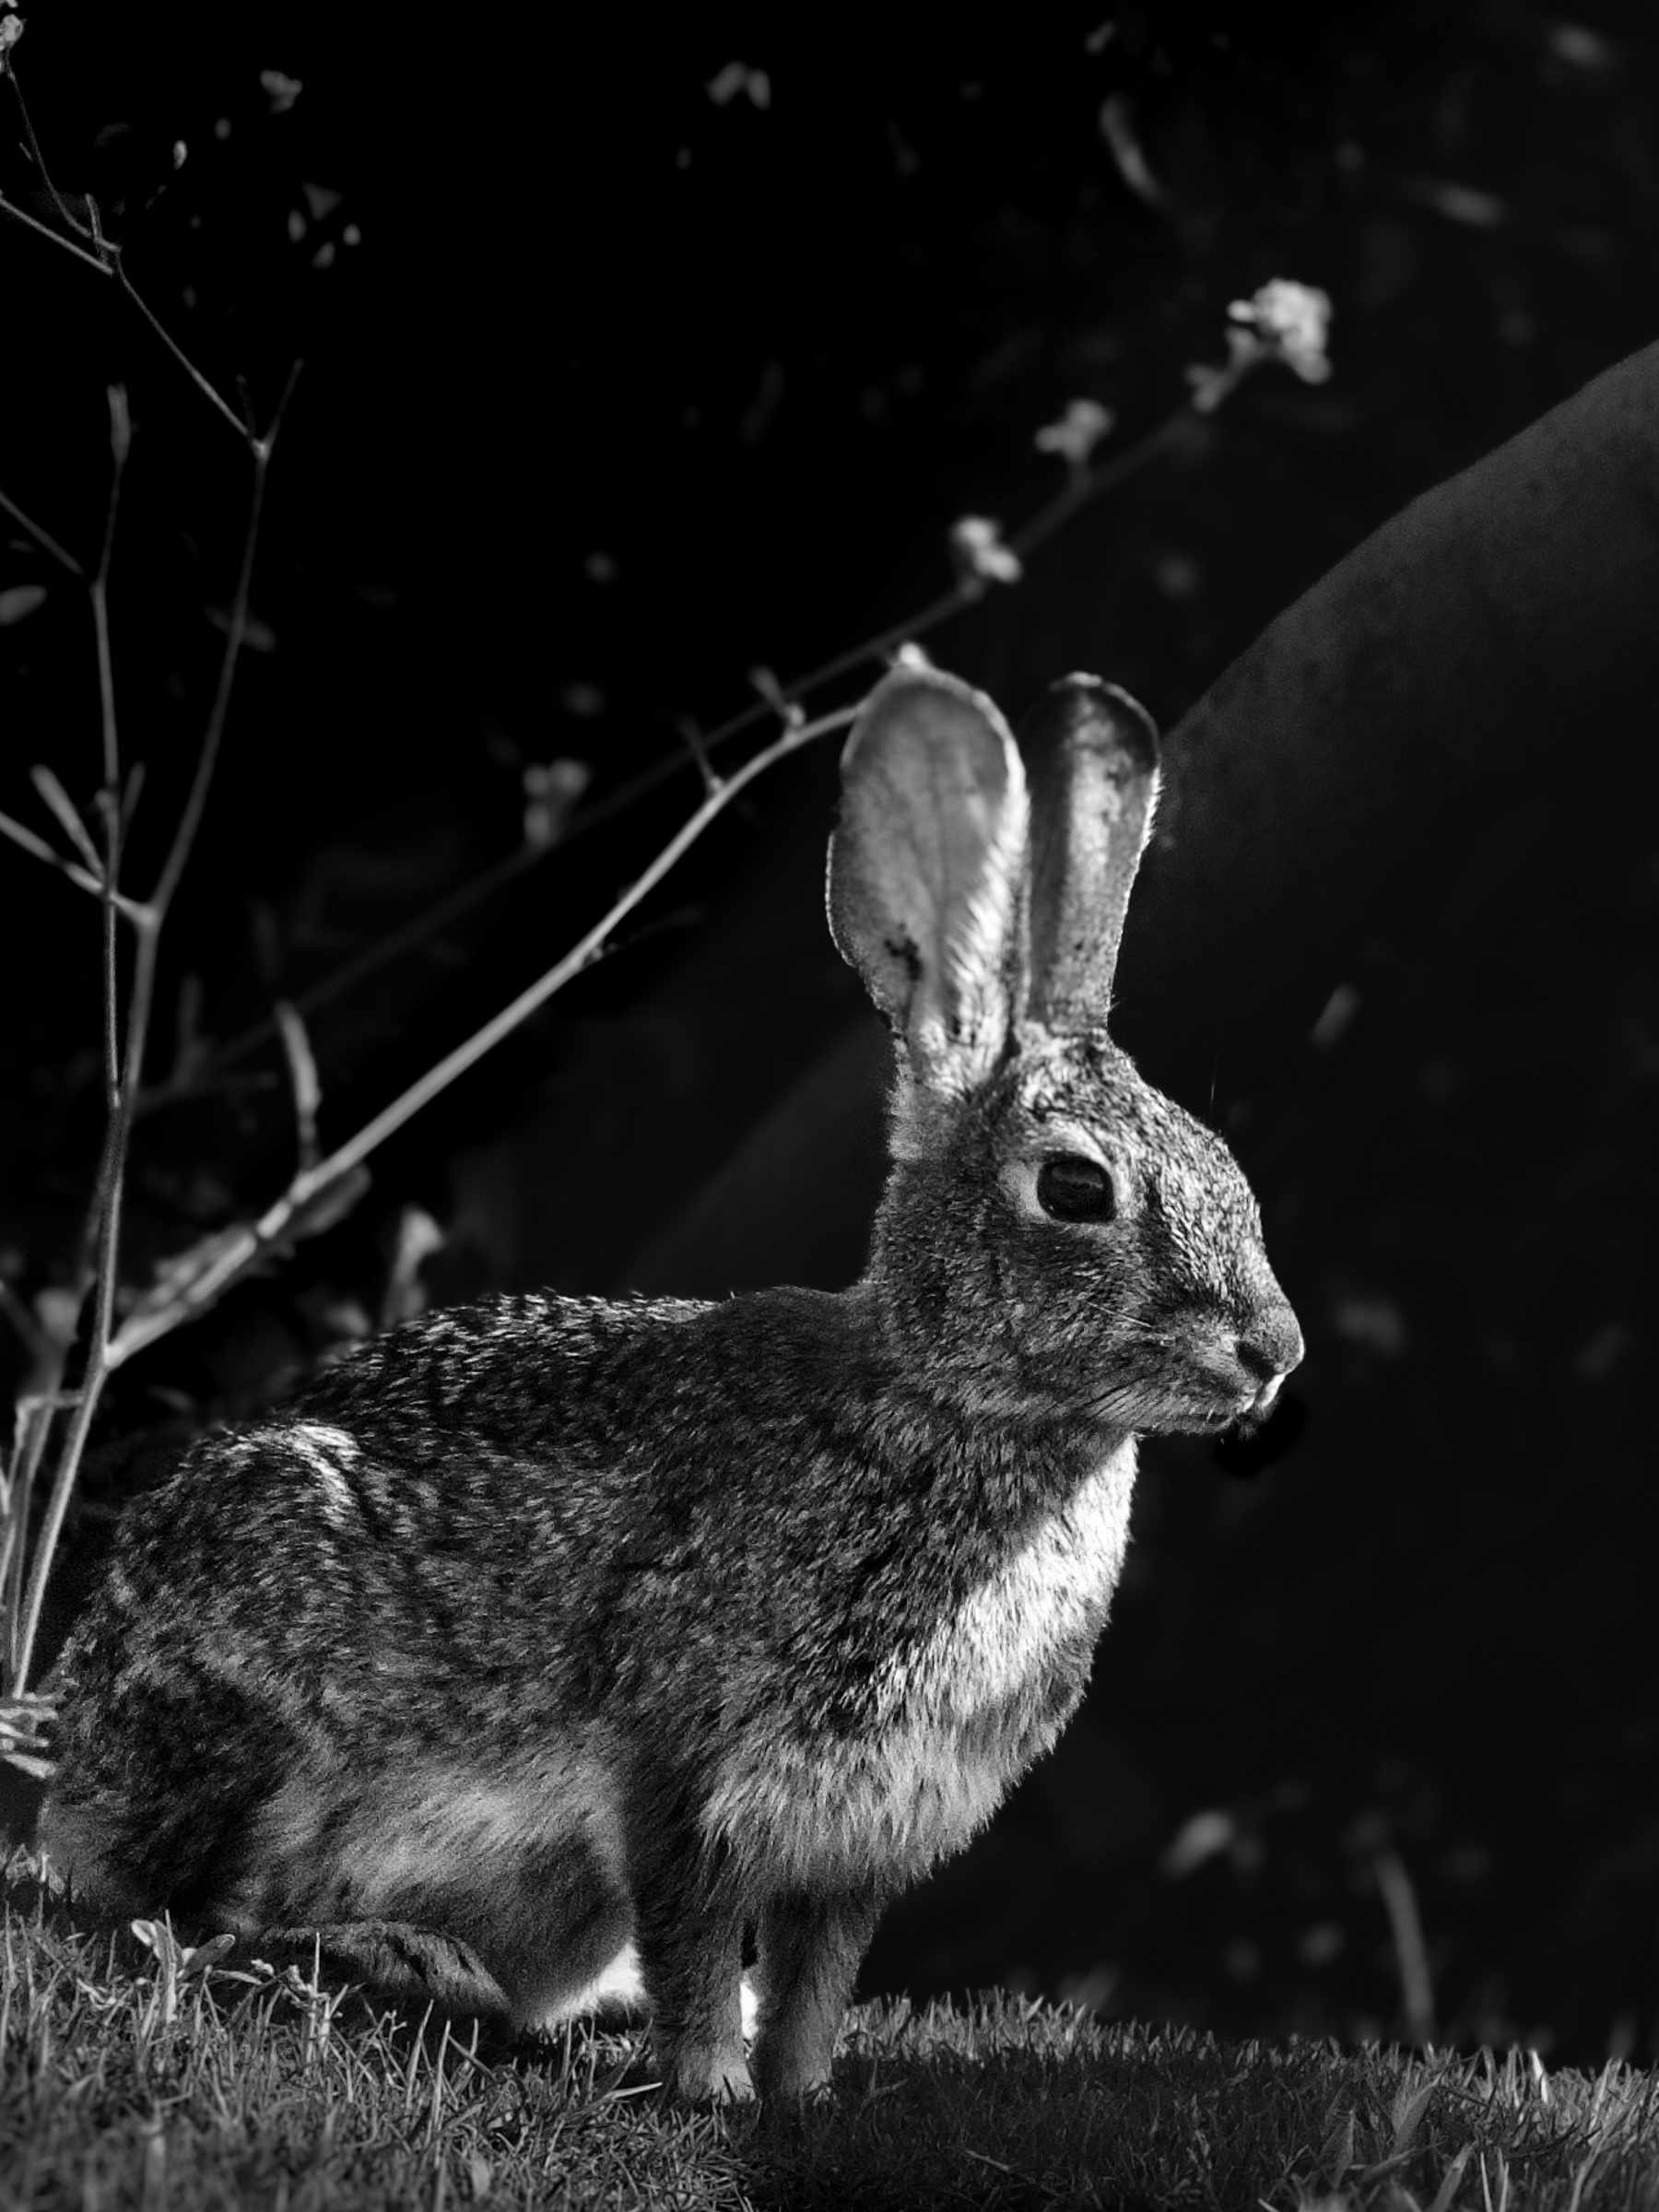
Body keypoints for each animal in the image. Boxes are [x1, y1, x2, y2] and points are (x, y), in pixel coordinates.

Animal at [36, 665, 1303, 2103]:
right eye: (1078, 1191)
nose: (1275, 1349)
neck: (956, 1405)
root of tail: (77, 1755)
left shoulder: (861, 1839)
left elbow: (820, 1972)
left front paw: (800, 2092)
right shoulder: (686, 1775)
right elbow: (697, 1927)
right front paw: (710, 2084)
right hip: (255, 1691)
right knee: (195, 1909)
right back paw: (394, 1951)